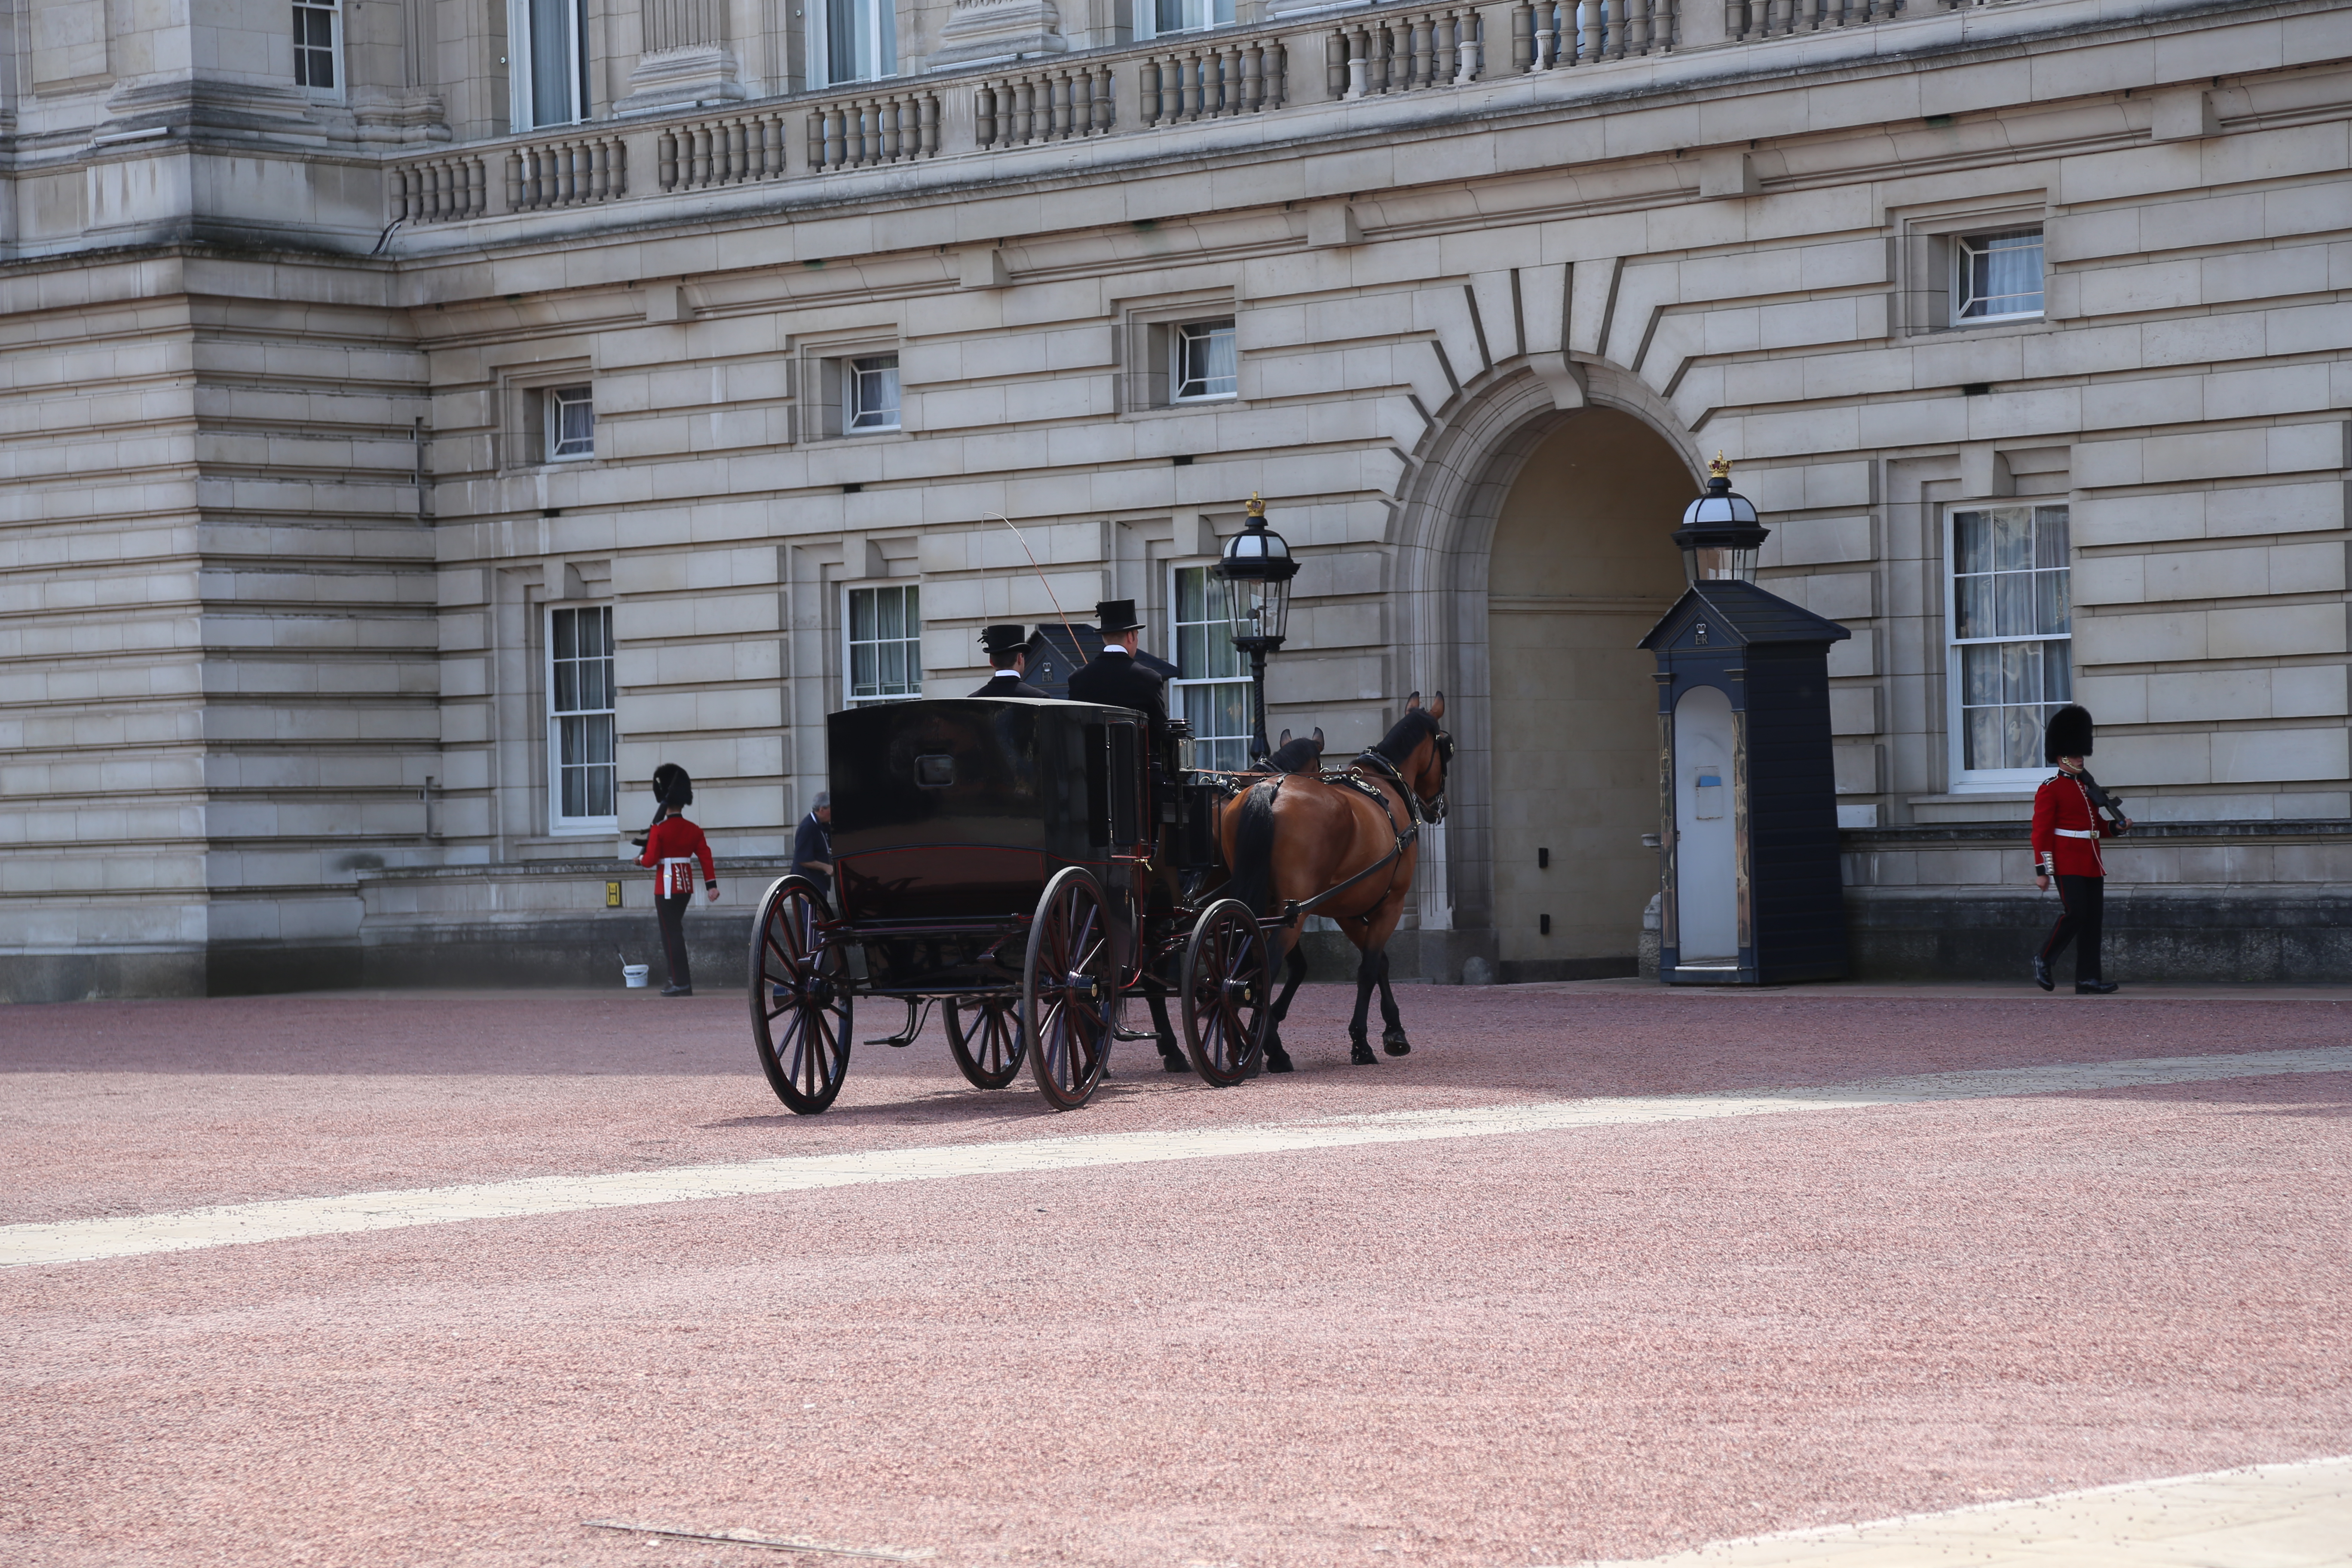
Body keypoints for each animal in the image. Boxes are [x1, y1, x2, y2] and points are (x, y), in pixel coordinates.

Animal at [1213, 695, 1449, 1067]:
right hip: (1293, 912)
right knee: (1265, 964)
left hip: (1263, 906)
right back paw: (1262, 1046)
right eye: (1446, 747)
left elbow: (1379, 964)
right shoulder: (1391, 904)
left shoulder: (1347, 909)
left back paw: (1242, 1039)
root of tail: (1270, 787)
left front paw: (1393, 1030)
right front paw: (1362, 1042)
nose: (1440, 807)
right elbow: (1369, 968)